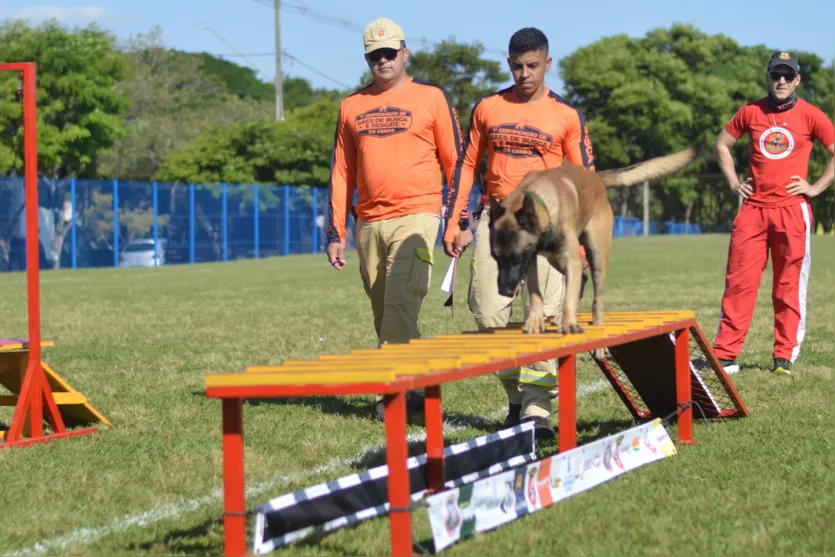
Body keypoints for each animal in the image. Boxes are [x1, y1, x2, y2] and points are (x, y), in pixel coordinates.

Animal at [486, 144, 704, 334]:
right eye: (496, 258)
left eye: (516, 258)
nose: (504, 291)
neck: (542, 202)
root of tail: (596, 178)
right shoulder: (532, 261)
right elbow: (536, 293)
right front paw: (535, 321)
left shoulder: (563, 259)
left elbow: (568, 297)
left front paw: (569, 324)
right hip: (556, 259)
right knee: (581, 279)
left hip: (595, 254)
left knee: (596, 297)